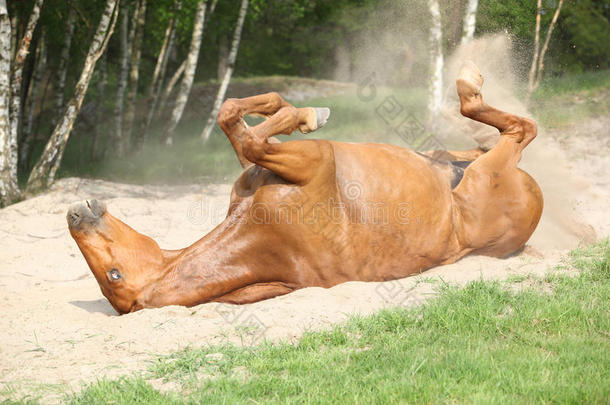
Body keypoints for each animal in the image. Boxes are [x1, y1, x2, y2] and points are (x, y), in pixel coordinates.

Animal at [66, 64, 540, 316]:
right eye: (114, 276)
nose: (74, 215)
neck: (260, 232)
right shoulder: (312, 160)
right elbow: (252, 139)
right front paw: (308, 114)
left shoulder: (259, 169)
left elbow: (233, 120)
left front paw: (286, 107)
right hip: (490, 170)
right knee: (518, 128)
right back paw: (469, 83)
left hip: (462, 159)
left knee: (475, 142)